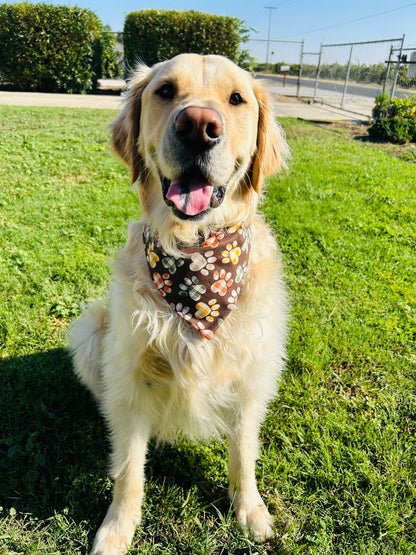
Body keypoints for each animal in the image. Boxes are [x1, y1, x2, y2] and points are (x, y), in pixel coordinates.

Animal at [69, 53, 290, 555]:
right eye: (166, 91)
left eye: (236, 99)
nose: (199, 126)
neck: (195, 254)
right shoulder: (131, 378)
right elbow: (129, 468)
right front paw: (116, 530)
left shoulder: (252, 377)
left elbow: (244, 453)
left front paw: (250, 511)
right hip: (92, 332)